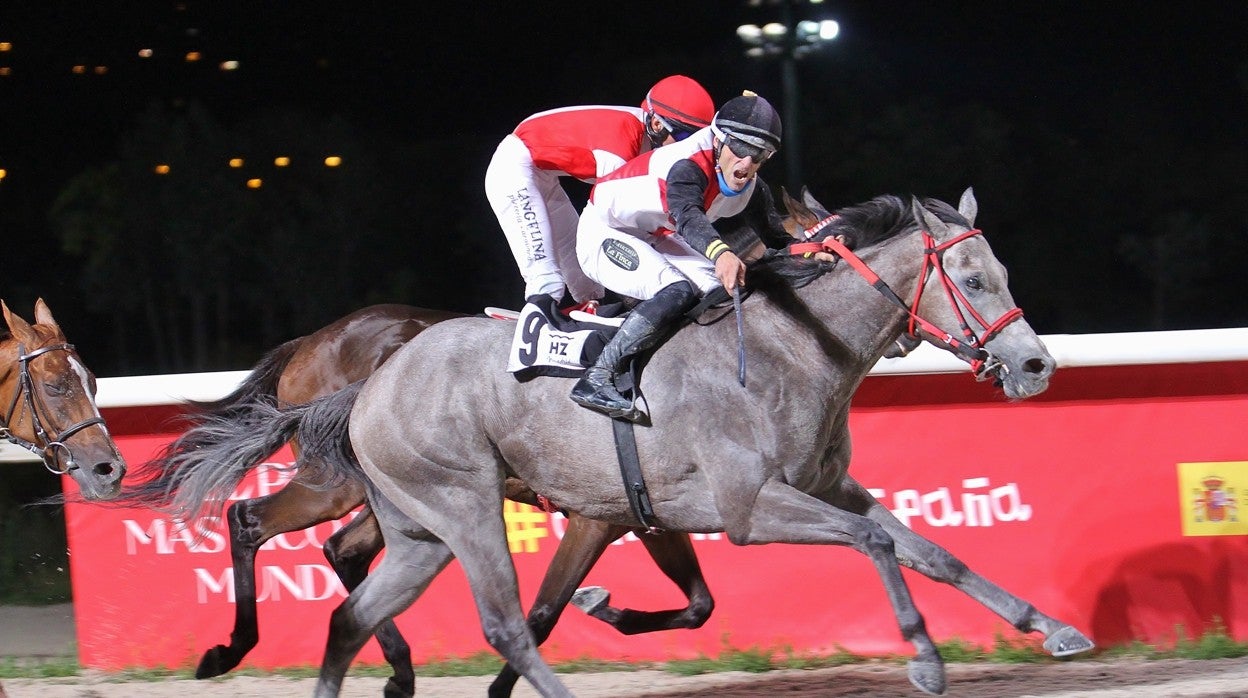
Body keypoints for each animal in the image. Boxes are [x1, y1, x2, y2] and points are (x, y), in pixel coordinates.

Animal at [120, 303, 713, 694]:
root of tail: (309, 342)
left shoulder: (648, 515)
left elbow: (699, 605)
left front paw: (605, 607)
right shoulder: (596, 517)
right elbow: (544, 612)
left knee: (343, 550)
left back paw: (398, 670)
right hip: (337, 481)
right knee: (249, 518)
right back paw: (230, 649)